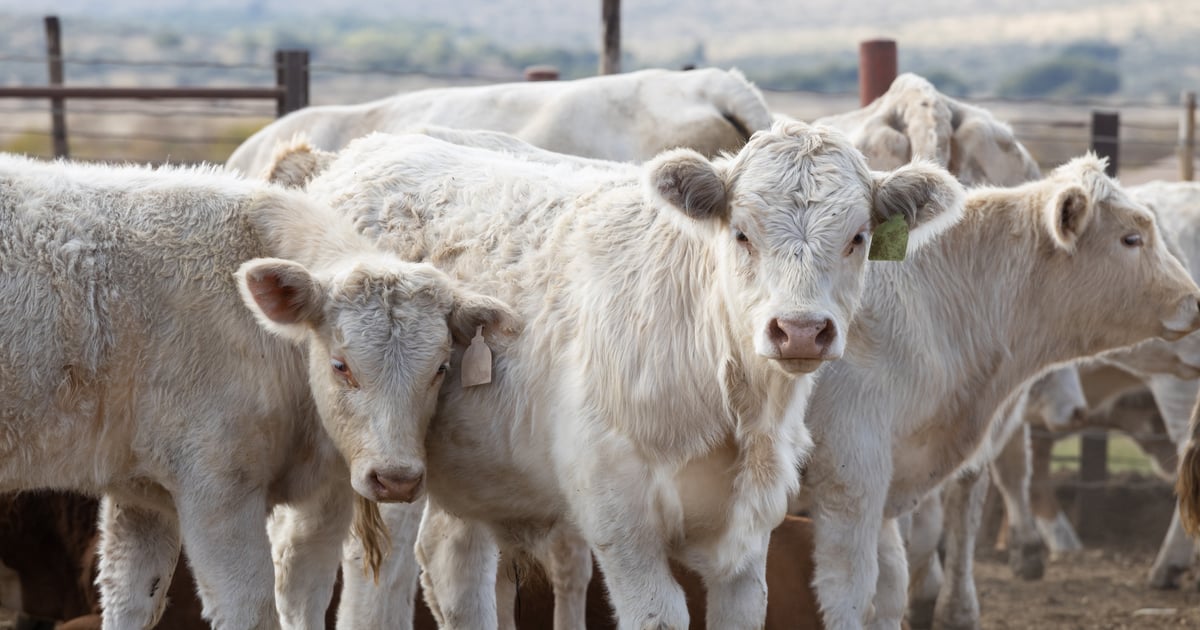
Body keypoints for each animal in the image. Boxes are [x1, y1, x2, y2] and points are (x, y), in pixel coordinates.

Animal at [0, 154, 517, 628]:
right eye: (341, 366)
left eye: (441, 367)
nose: (396, 479)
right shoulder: (217, 490)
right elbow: (251, 609)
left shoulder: (142, 492)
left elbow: (135, 598)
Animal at [276, 120, 966, 628]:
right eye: (742, 234)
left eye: (858, 237)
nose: (799, 329)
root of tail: (361, 154)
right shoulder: (619, 516)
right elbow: (658, 614)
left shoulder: (746, 538)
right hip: (375, 464)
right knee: (351, 579)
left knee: (454, 568)